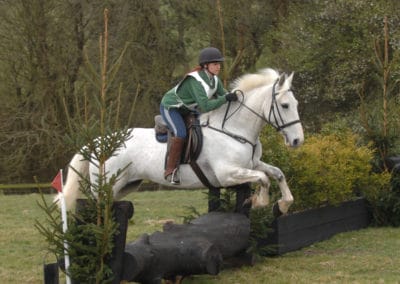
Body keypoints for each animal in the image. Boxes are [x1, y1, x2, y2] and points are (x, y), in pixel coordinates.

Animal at [57, 69, 304, 214]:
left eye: (296, 103)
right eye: (285, 106)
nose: (297, 140)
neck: (233, 129)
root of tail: (97, 144)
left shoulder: (251, 164)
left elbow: (277, 173)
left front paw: (284, 203)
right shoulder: (227, 173)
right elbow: (263, 178)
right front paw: (259, 202)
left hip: (125, 185)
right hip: (106, 185)